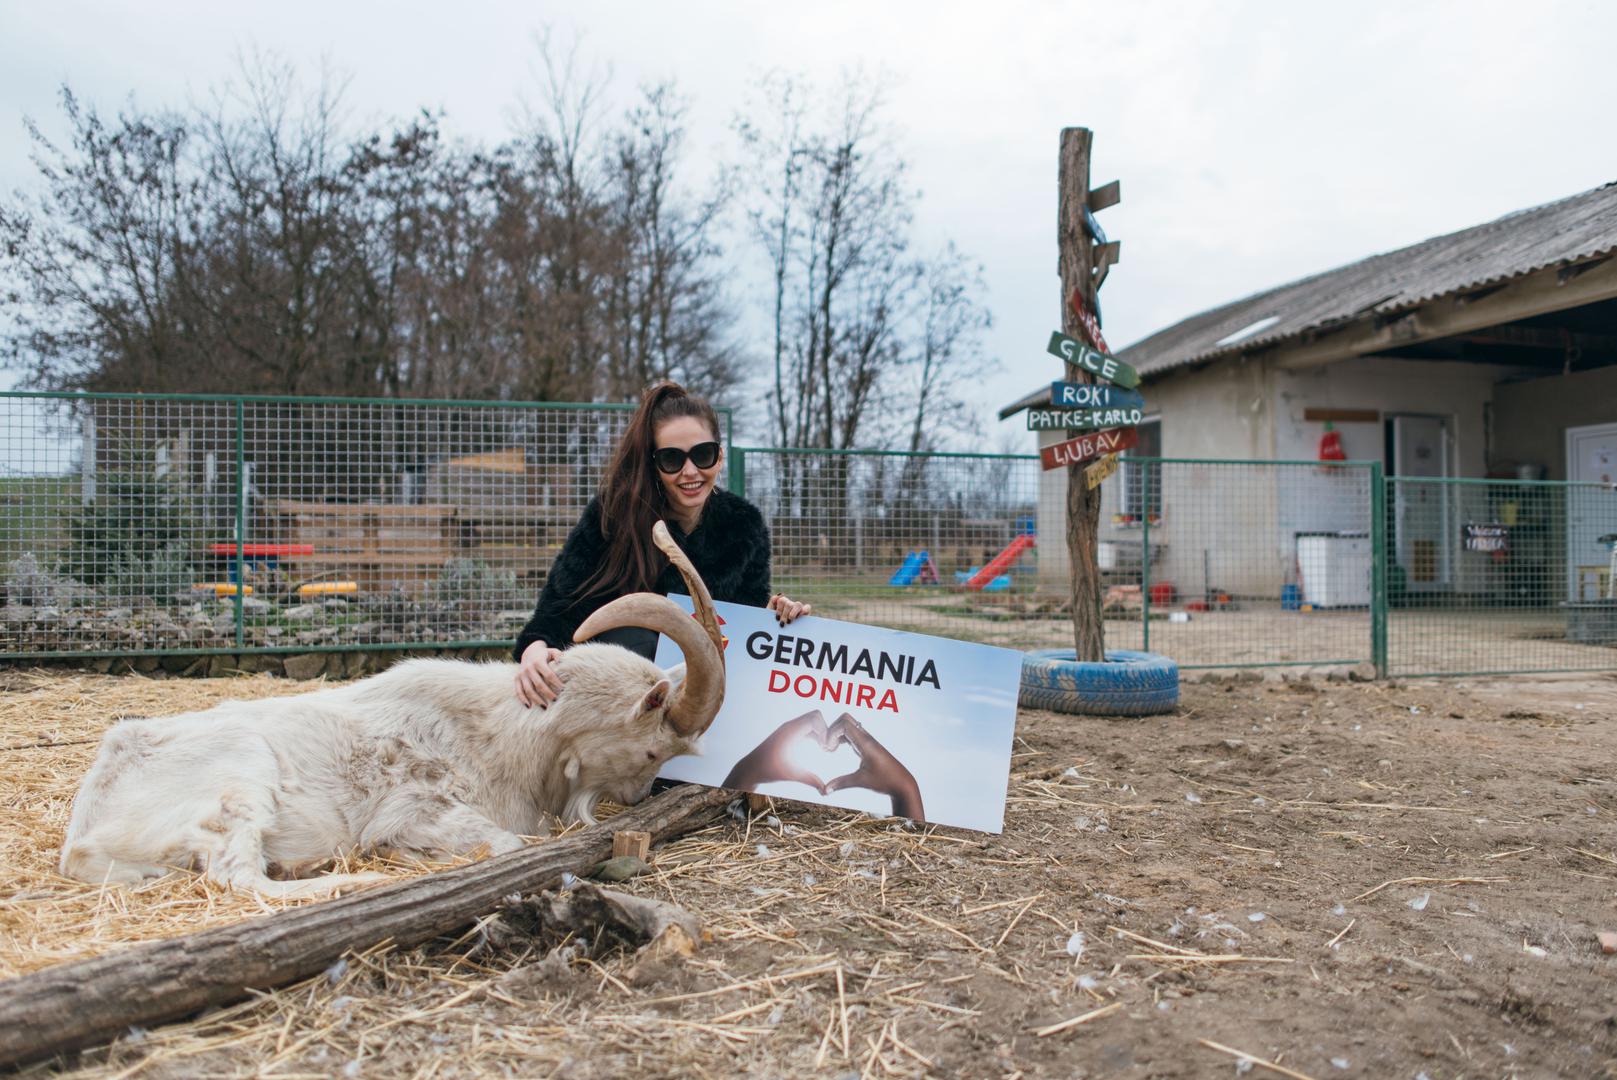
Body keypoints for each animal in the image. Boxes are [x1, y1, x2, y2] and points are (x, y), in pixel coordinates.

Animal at [59, 520, 724, 892]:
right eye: (652, 750)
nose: (637, 800)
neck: (500, 735)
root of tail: (82, 840)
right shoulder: (416, 808)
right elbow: (503, 845)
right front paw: (396, 853)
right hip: (243, 778)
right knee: (236, 875)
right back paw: (351, 880)